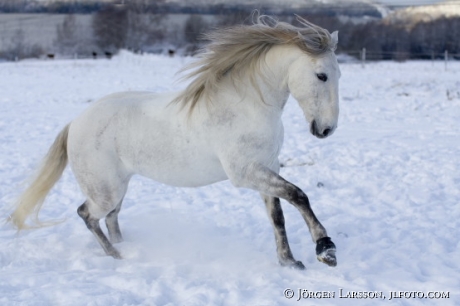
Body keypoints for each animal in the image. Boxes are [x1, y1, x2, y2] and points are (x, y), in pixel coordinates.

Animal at [9, 16, 342, 270]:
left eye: (338, 74)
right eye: (321, 75)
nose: (326, 129)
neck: (247, 106)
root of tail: (75, 123)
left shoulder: (267, 167)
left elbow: (278, 215)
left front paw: (289, 262)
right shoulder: (245, 173)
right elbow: (299, 195)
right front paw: (325, 249)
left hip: (118, 186)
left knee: (111, 217)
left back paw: (124, 247)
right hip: (104, 191)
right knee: (87, 215)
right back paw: (116, 255)